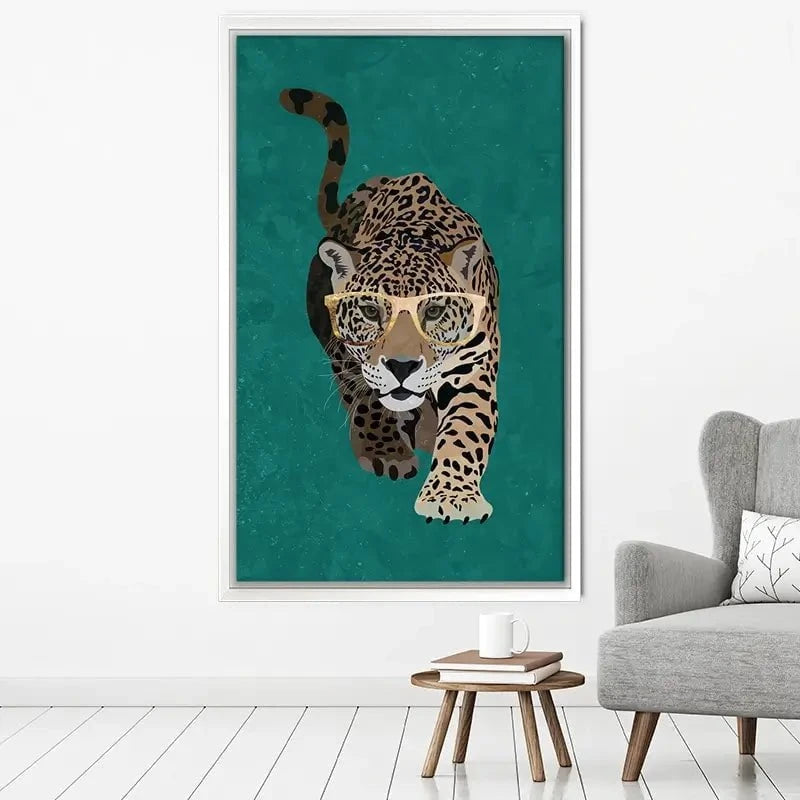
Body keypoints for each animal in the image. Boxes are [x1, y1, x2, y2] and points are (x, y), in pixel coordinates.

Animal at [278, 87, 500, 524]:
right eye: (370, 310)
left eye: (433, 311)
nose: (401, 367)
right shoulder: (350, 354)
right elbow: (366, 397)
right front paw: (386, 452)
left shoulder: (473, 365)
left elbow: (466, 428)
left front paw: (452, 497)